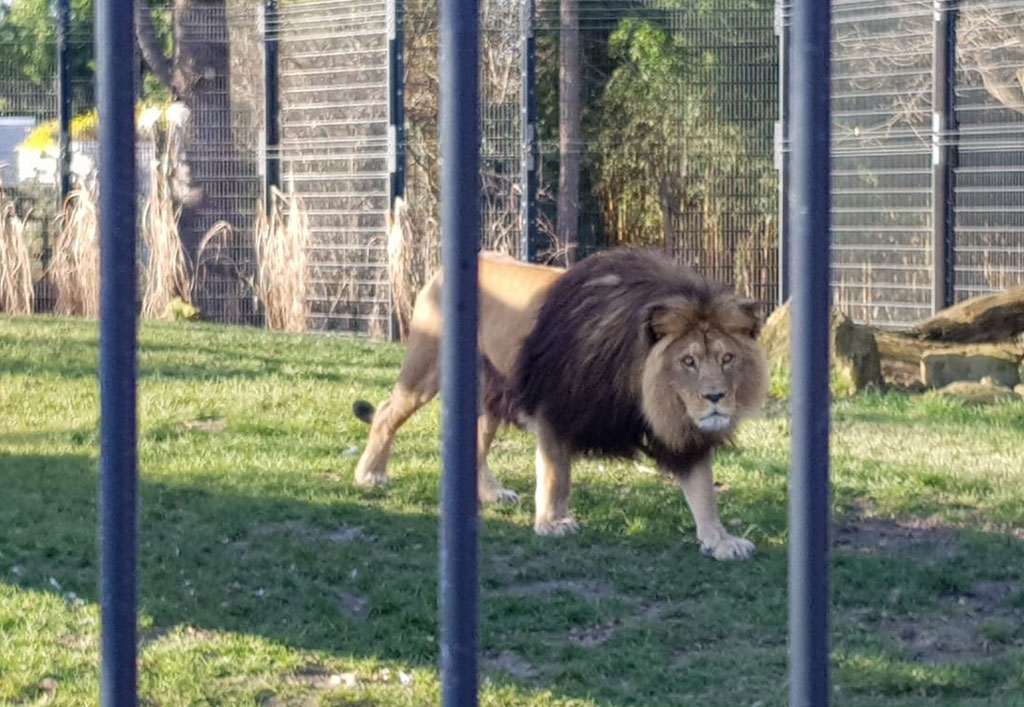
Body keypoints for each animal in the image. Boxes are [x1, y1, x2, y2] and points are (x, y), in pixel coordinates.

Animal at [350, 244, 761, 557]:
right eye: (688, 361)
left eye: (727, 358)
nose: (715, 397)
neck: (640, 386)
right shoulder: (555, 409)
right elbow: (556, 474)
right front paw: (552, 522)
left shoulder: (681, 432)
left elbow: (703, 489)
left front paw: (720, 540)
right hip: (426, 368)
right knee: (386, 412)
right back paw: (369, 475)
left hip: (489, 393)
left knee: (476, 439)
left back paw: (491, 493)